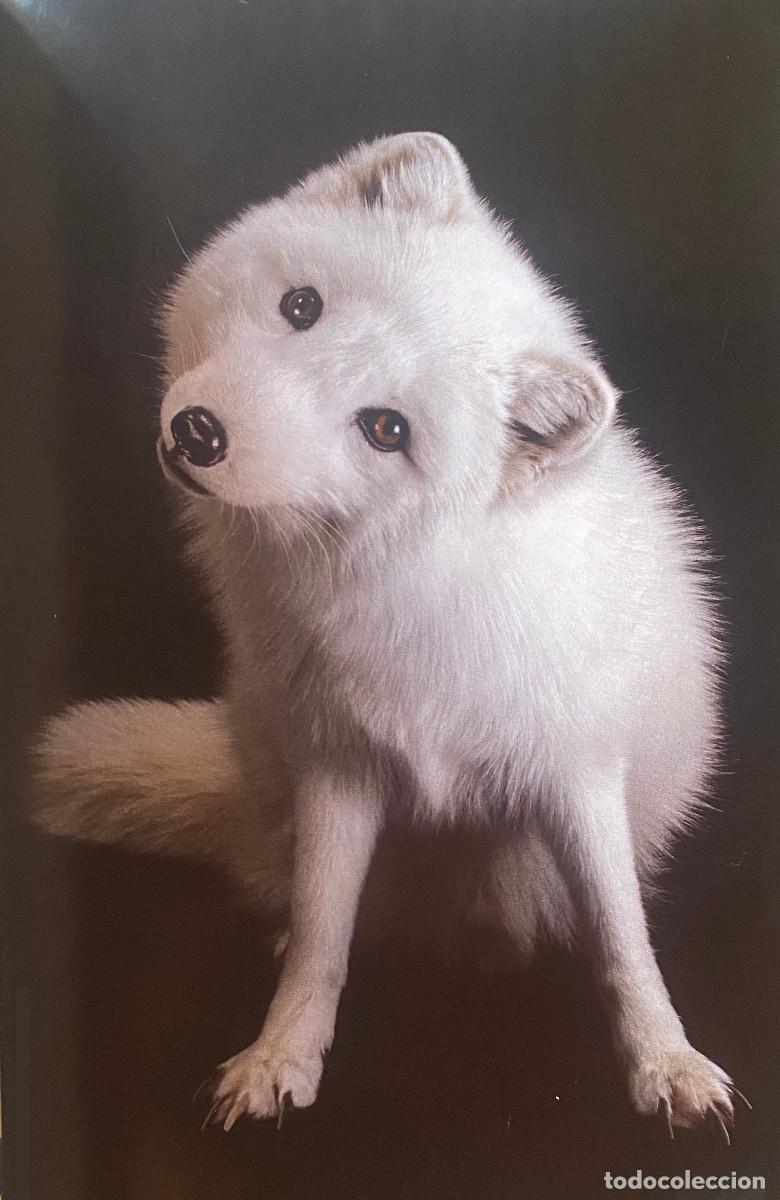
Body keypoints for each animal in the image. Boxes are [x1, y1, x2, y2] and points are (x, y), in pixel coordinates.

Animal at [34, 132, 739, 1135]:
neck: (419, 586)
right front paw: (282, 1052)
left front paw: (667, 1062)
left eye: (386, 430)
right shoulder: (339, 762)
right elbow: (324, 932)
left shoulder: (578, 772)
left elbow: (622, 938)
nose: (200, 432)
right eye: (301, 306)